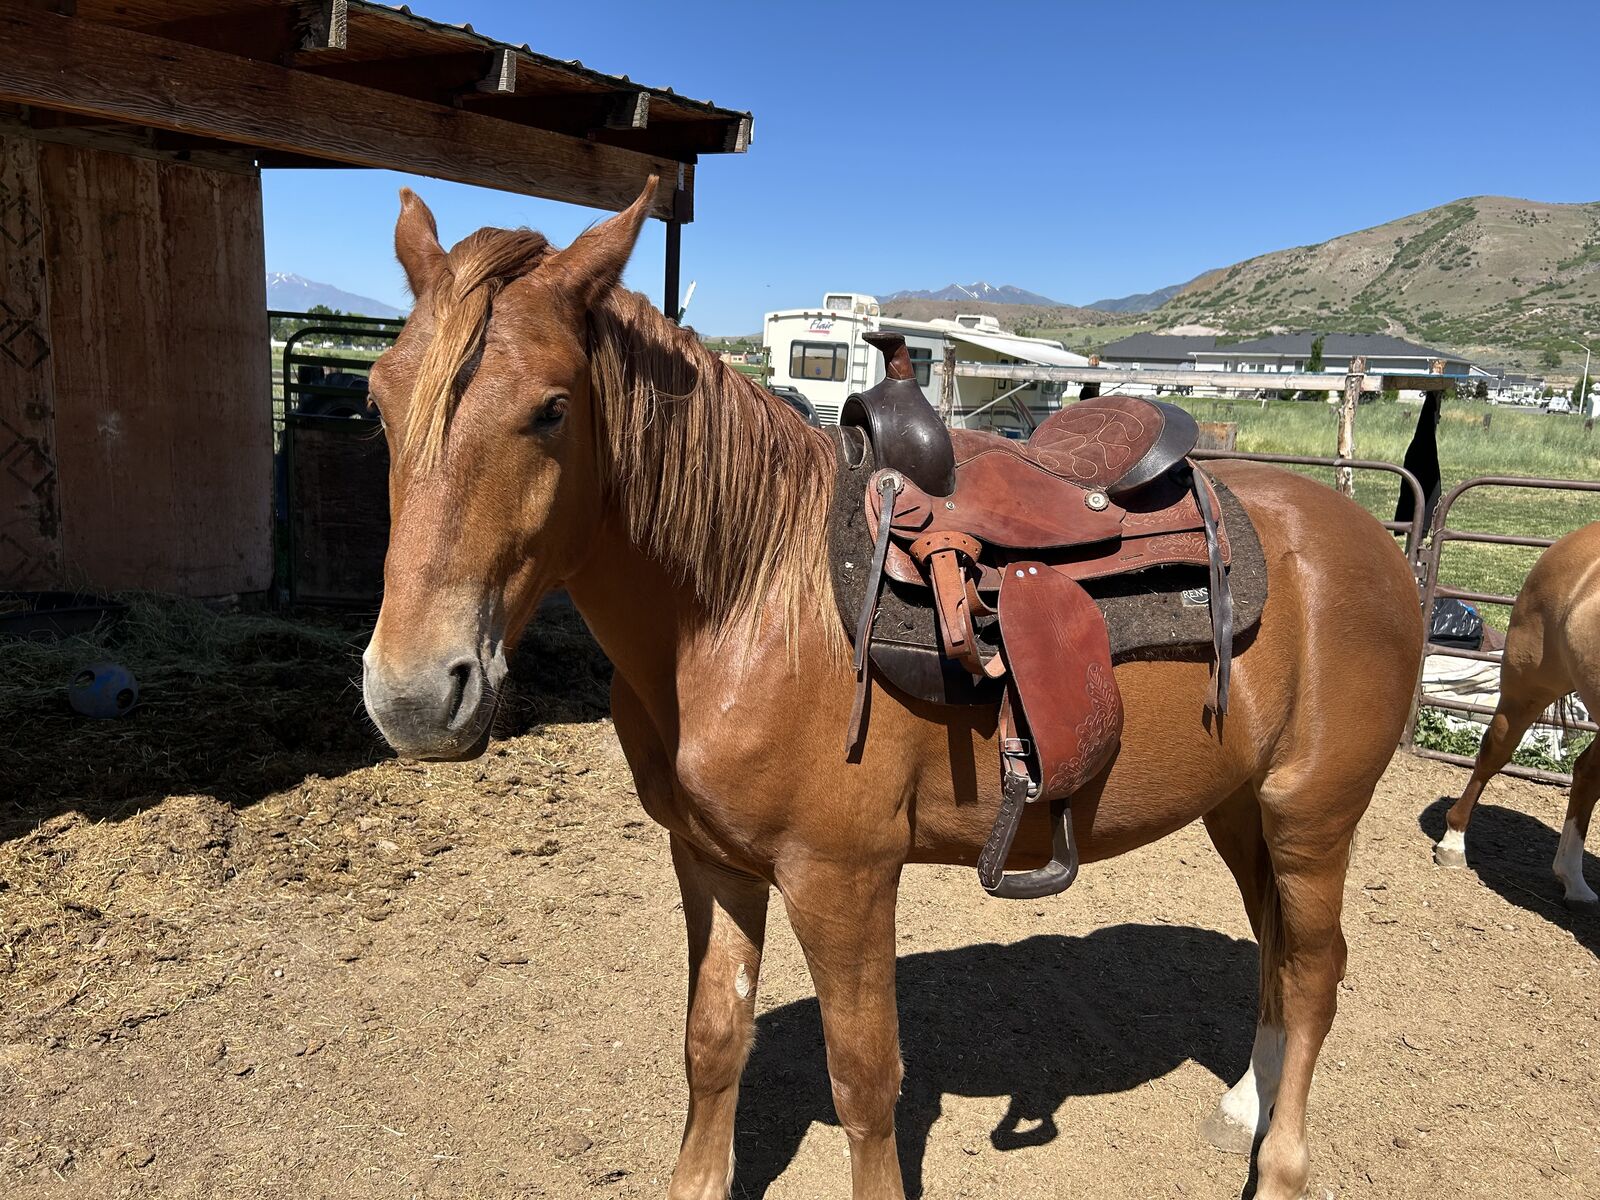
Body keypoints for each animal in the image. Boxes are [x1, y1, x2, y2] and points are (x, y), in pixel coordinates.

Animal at [359, 178, 1425, 1200]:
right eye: (377, 398)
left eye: (551, 408)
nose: (412, 695)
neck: (747, 604)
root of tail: (1373, 539)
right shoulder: (711, 863)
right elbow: (713, 1042)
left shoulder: (844, 881)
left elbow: (865, 1083)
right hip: (1240, 810)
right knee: (1277, 953)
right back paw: (1245, 1107)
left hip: (1311, 815)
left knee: (1315, 970)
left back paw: (1280, 1166)